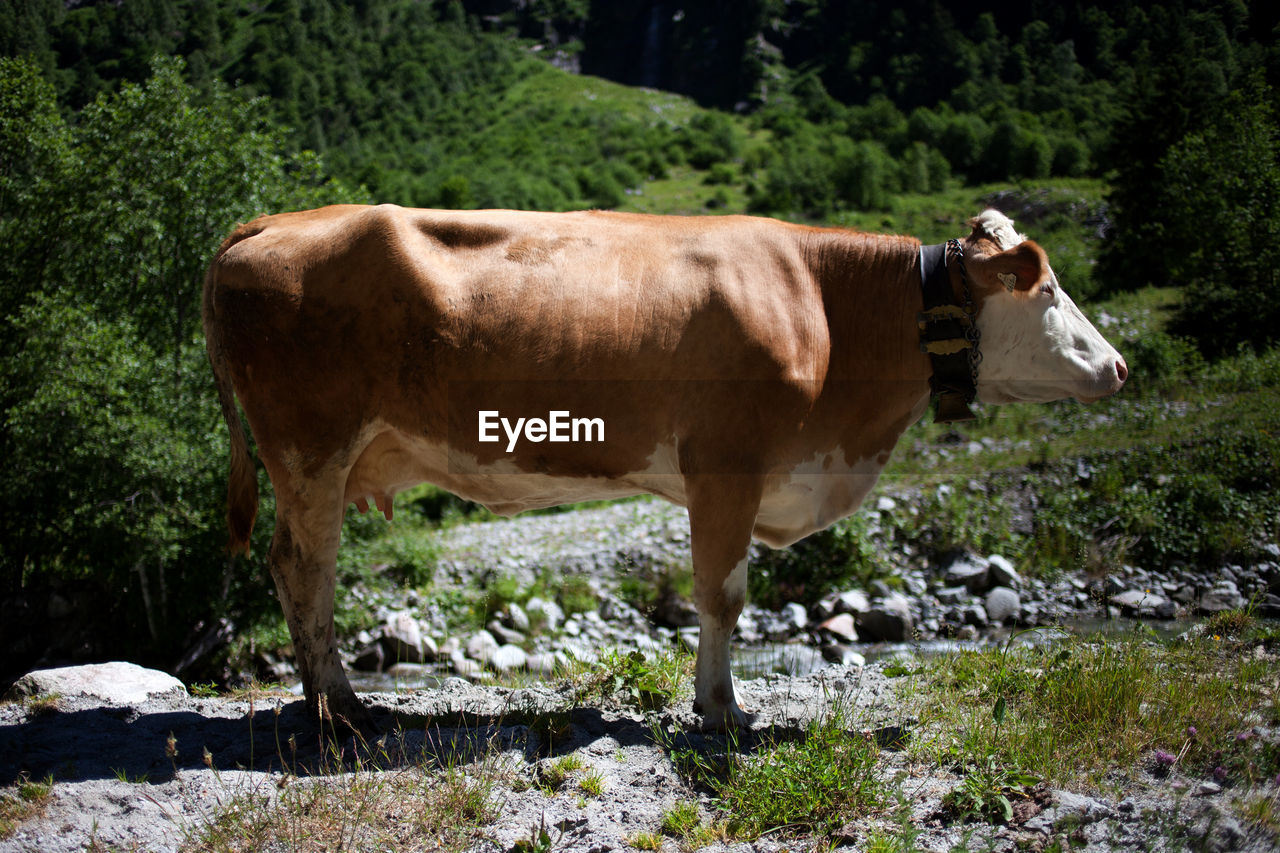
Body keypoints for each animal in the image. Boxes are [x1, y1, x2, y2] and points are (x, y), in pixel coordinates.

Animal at [202, 204, 1131, 722]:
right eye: (1049, 292)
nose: (1121, 366)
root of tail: (271, 222)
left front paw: (717, 702)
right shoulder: (725, 463)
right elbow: (722, 595)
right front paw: (722, 710)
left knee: (299, 566)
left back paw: (333, 700)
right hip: (310, 444)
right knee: (305, 566)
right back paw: (339, 708)